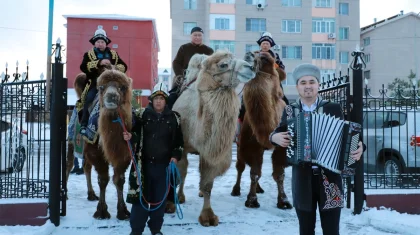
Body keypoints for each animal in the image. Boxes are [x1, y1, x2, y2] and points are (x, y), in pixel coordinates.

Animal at [171, 50, 256, 227]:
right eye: (223, 64)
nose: (251, 67)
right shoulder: (180, 147)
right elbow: (179, 173)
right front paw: (172, 202)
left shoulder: (211, 151)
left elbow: (208, 184)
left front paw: (208, 216)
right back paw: (181, 197)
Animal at [230, 51, 292, 209]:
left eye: (265, 58)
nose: (248, 54)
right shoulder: (252, 145)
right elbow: (254, 173)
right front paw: (252, 200)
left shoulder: (282, 146)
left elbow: (279, 174)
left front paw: (284, 201)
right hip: (239, 143)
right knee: (240, 167)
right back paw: (236, 190)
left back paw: (259, 189)